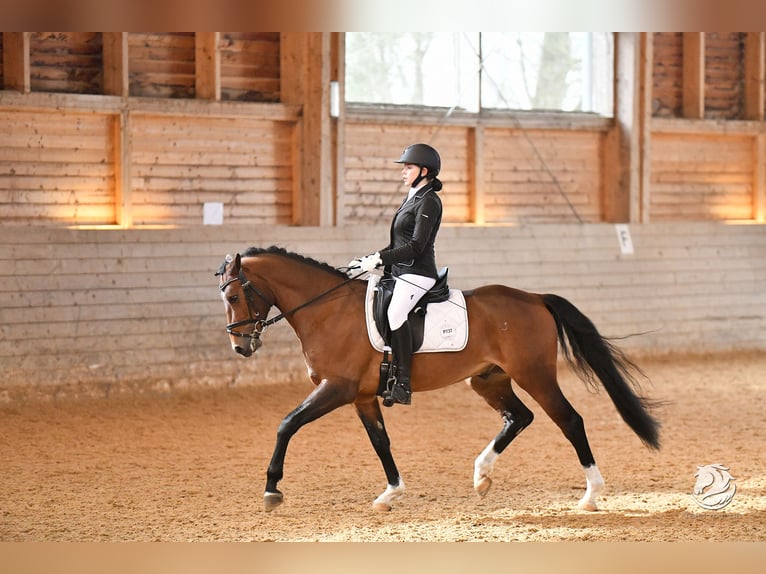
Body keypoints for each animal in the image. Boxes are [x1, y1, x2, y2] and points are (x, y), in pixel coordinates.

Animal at [216, 245, 660, 516]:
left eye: (234, 297)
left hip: (534, 375)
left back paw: (591, 495)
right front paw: (390, 493)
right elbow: (381, 443)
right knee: (519, 417)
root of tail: (534, 298)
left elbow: (286, 423)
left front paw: (272, 490)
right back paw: (482, 476)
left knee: (569, 421)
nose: (241, 347)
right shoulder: (362, 397)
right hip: (487, 379)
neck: (327, 310)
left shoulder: (337, 388)